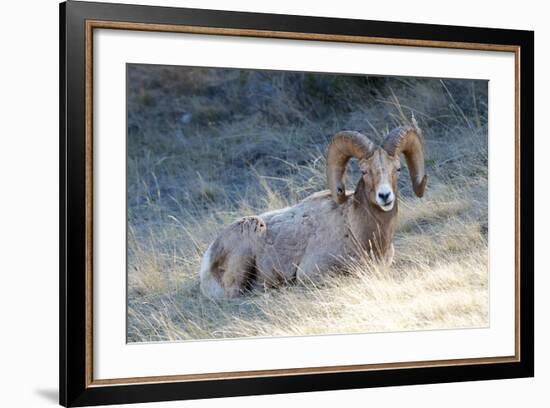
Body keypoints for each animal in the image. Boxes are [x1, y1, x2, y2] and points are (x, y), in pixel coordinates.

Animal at [201, 118, 430, 300]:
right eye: (364, 171)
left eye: (397, 169)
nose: (385, 196)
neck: (356, 230)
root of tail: (208, 257)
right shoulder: (312, 273)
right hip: (250, 235)